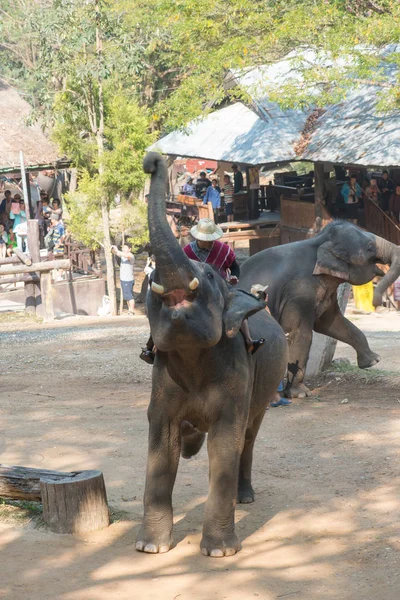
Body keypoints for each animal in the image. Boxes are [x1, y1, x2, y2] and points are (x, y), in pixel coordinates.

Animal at [137, 154, 288, 556]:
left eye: (207, 276)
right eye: (153, 280)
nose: (152, 160)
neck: (193, 359)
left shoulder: (237, 370)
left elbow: (226, 440)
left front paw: (219, 551)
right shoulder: (163, 377)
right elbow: (161, 443)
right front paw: (150, 548)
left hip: (265, 387)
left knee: (248, 436)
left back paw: (244, 496)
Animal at [238, 220, 400, 398]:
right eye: (370, 247)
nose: (376, 302)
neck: (319, 241)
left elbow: (331, 323)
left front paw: (372, 361)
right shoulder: (299, 293)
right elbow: (301, 334)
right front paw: (301, 394)